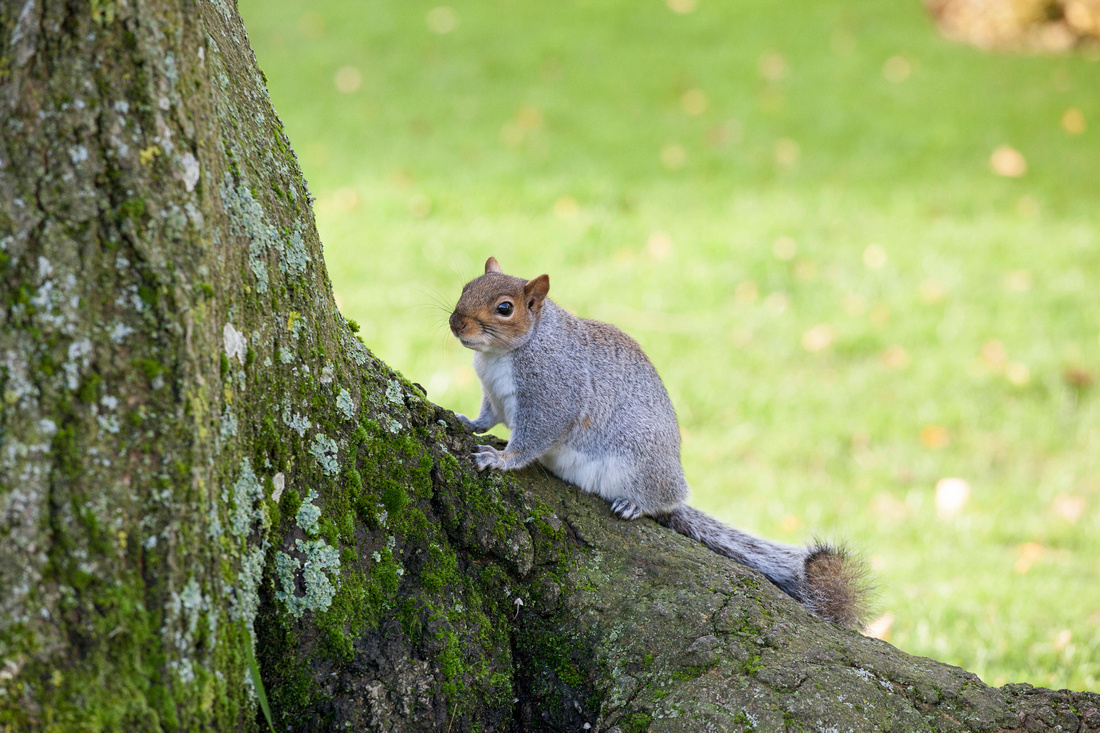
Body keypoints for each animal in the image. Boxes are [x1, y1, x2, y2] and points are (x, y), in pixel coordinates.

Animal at [446, 256, 866, 629]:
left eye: (505, 308)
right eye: (465, 287)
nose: (455, 322)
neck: (503, 354)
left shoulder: (553, 395)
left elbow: (534, 439)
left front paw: (501, 459)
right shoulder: (495, 397)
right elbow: (487, 417)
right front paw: (467, 421)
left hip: (641, 465)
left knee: (661, 500)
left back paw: (636, 504)